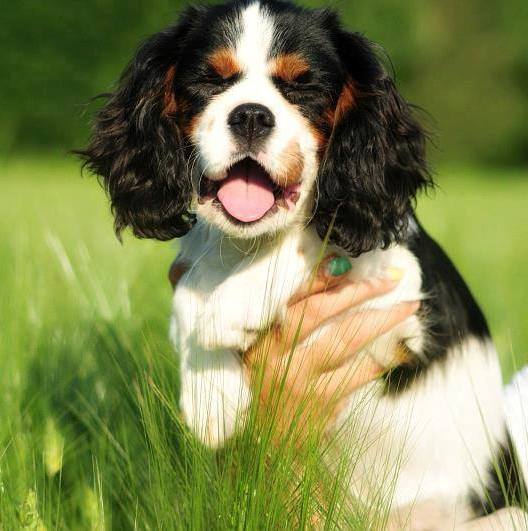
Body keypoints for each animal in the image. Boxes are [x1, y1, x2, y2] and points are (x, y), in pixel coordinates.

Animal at [79, 0, 527, 526]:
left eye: (303, 87)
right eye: (210, 80)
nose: (251, 116)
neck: (249, 244)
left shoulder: (402, 289)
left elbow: (314, 236)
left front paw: (226, 312)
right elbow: (190, 285)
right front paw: (211, 397)